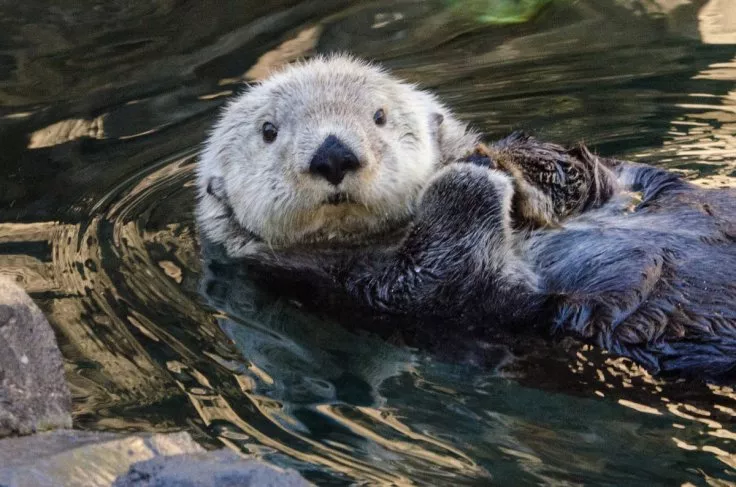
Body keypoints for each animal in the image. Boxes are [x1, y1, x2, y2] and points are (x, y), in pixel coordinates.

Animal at [196, 54, 736, 382]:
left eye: (379, 116)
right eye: (268, 131)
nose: (333, 155)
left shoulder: (616, 186)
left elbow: (590, 174)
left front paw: (505, 159)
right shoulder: (367, 287)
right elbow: (442, 275)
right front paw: (467, 178)